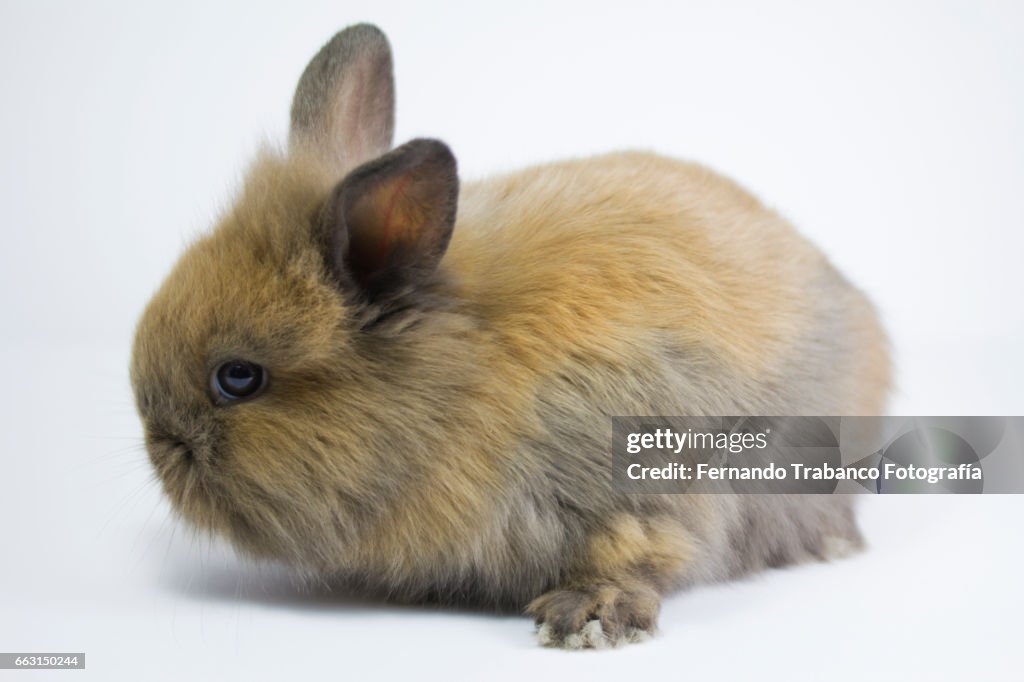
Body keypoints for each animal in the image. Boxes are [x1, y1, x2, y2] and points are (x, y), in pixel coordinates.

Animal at [130, 23, 890, 649]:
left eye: (238, 377)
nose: (160, 443)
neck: (462, 382)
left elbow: (636, 554)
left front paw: (586, 617)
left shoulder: (646, 484)